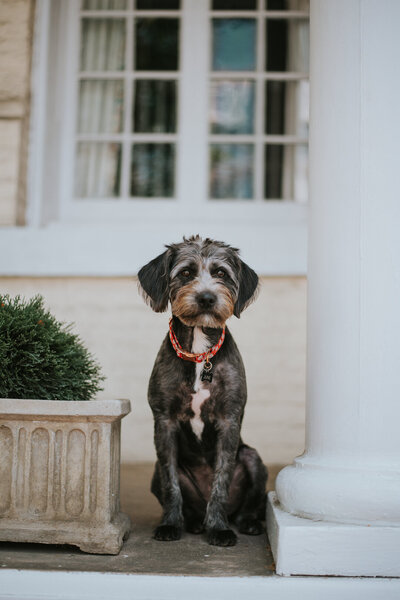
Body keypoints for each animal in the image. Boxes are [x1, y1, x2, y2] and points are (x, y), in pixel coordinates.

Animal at [138, 237, 268, 548]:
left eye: (221, 273)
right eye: (186, 272)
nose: (207, 298)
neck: (200, 353)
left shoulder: (228, 420)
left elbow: (220, 482)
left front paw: (218, 528)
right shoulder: (164, 422)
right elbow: (171, 484)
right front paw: (170, 524)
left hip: (253, 459)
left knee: (247, 505)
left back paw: (245, 523)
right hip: (155, 472)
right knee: (185, 501)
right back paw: (194, 523)